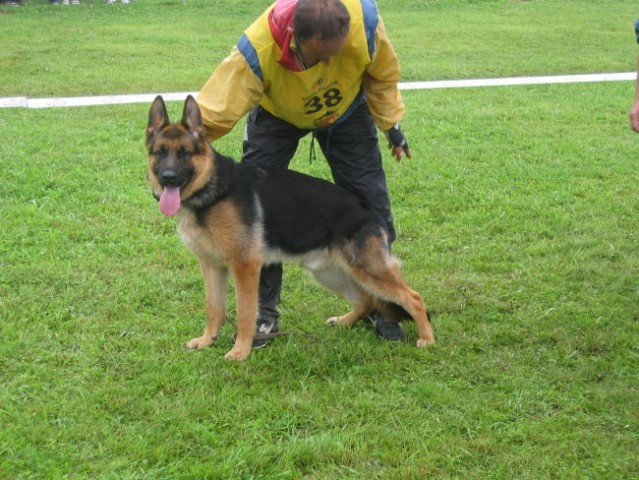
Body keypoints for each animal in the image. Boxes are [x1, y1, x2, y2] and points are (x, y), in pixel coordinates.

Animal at [145, 95, 436, 360]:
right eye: (160, 152)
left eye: (185, 153)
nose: (168, 178)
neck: (213, 190)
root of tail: (368, 209)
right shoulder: (211, 266)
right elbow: (213, 308)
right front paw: (207, 340)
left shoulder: (245, 266)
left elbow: (245, 313)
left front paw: (240, 350)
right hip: (330, 273)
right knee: (366, 301)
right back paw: (344, 321)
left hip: (368, 270)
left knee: (412, 298)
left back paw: (427, 339)